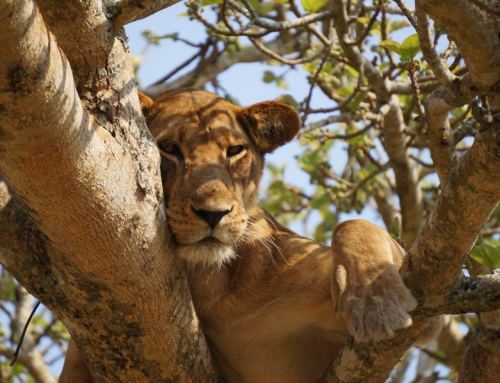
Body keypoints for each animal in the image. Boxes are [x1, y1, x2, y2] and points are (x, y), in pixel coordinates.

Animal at [59, 90, 426, 383]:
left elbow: (353, 225)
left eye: (235, 150)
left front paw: (374, 300)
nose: (213, 214)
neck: (213, 283)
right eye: (168, 148)